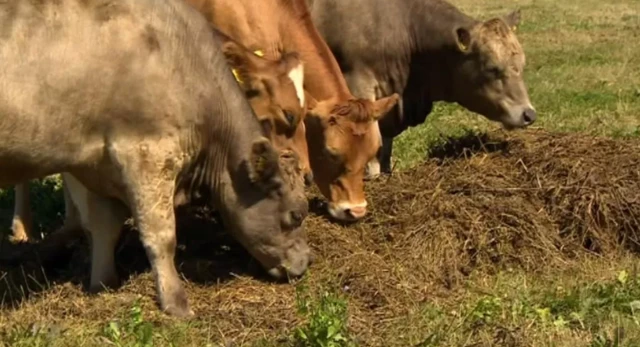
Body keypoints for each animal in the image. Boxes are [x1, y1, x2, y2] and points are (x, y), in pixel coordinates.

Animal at [0, 0, 310, 318]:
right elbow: (161, 236)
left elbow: (103, 228)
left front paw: (103, 284)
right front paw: (176, 304)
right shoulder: (147, 155)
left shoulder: (93, 165)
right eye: (297, 214)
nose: (306, 261)